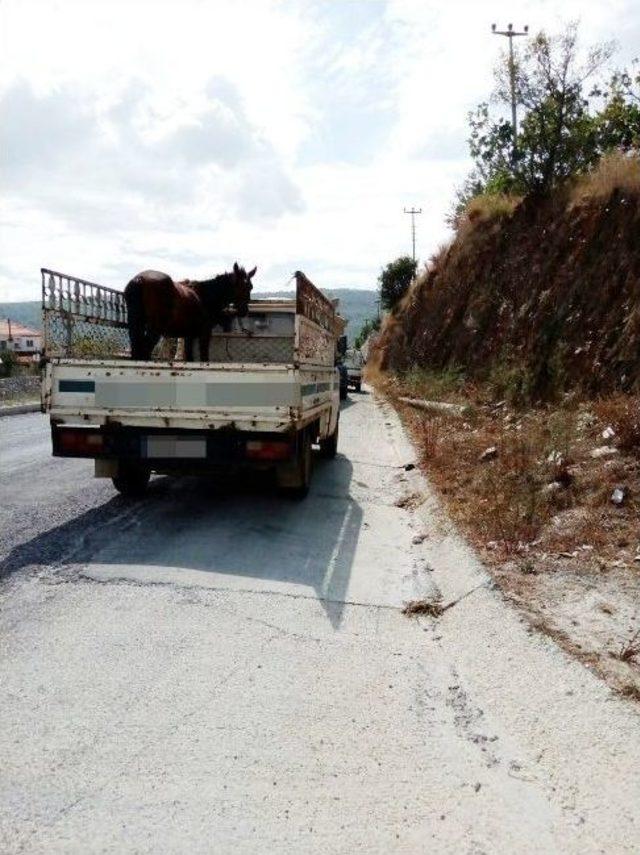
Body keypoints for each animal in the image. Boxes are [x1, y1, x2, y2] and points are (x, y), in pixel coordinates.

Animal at [124, 266, 256, 362]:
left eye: (250, 287)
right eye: (239, 285)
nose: (244, 310)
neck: (205, 296)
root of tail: (140, 279)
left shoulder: (189, 336)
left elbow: (189, 358)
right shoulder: (204, 334)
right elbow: (204, 357)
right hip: (155, 329)